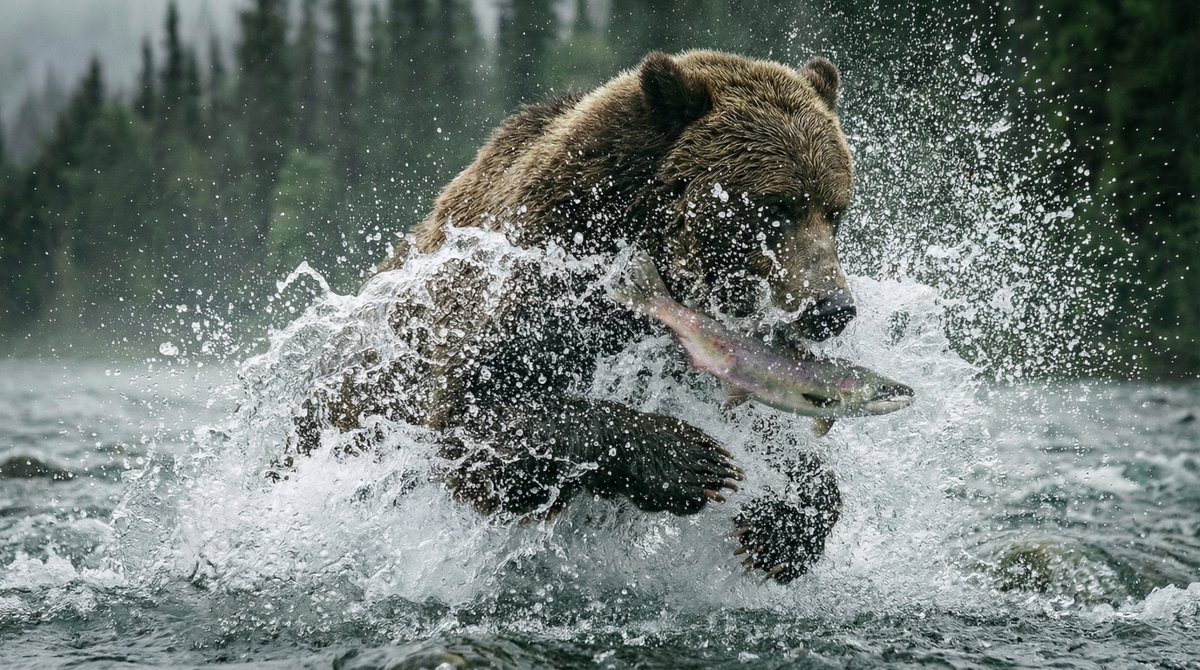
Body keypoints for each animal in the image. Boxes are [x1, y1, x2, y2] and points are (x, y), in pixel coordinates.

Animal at [289, 50, 855, 584]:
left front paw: (781, 530)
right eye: (776, 206)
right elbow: (471, 424)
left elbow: (769, 424)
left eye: (835, 210)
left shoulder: (702, 349)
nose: (832, 308)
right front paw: (690, 459)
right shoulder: (533, 288)